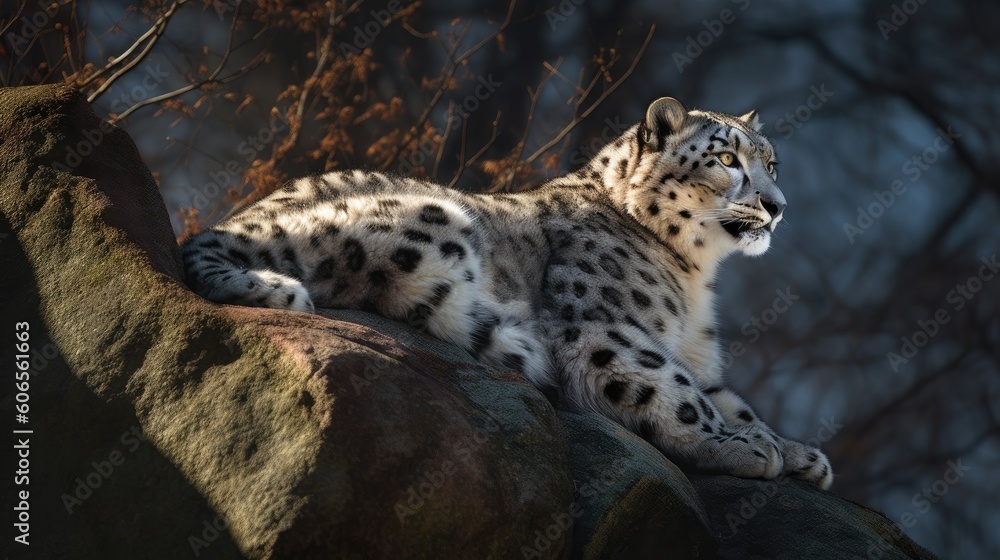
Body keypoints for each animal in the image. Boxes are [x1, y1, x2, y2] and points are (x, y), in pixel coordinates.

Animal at [181, 97, 833, 489]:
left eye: (772, 162)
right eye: (726, 158)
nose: (777, 206)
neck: (695, 277)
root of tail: (235, 218)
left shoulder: (699, 356)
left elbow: (727, 396)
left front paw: (797, 452)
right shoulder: (605, 329)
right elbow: (677, 393)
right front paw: (741, 447)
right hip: (424, 220)